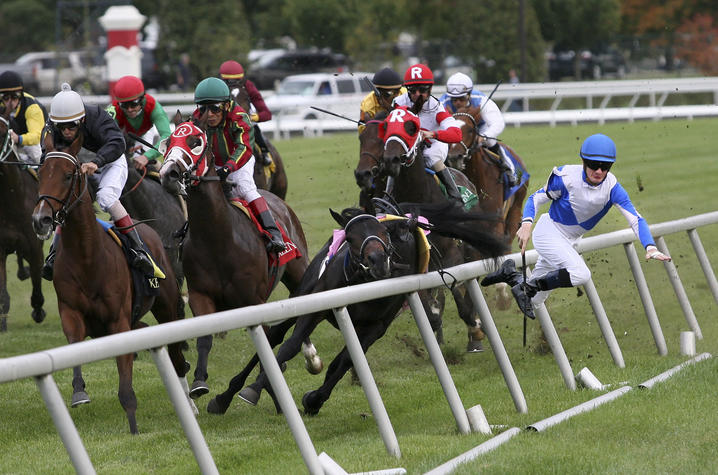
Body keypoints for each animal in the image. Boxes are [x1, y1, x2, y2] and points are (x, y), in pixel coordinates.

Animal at [31, 130, 188, 436]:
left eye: (68, 175)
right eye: (41, 172)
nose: (40, 219)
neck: (88, 257)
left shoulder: (118, 321)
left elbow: (125, 381)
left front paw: (133, 425)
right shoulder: (71, 312)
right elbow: (73, 346)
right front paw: (79, 392)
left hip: (166, 304)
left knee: (176, 353)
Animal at [160, 121, 318, 400]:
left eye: (195, 141)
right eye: (168, 143)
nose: (169, 173)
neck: (217, 239)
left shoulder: (253, 300)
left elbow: (267, 344)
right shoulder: (201, 295)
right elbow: (205, 338)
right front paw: (199, 381)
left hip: (298, 269)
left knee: (304, 299)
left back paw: (311, 357)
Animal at [205, 201, 504, 416]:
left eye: (384, 233)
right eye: (349, 237)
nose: (377, 260)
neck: (361, 281)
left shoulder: (374, 327)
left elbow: (347, 361)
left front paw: (314, 399)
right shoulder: (316, 308)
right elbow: (290, 345)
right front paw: (255, 387)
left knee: (338, 359)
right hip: (302, 293)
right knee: (275, 336)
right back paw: (225, 397)